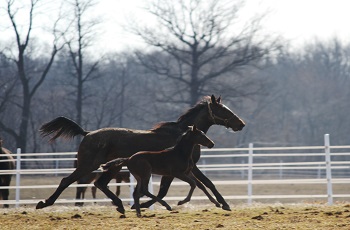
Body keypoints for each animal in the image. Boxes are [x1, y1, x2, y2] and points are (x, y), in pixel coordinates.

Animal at [34, 95, 243, 214]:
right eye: (223, 109)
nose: (241, 124)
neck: (182, 136)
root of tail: (87, 133)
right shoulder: (182, 168)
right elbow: (203, 183)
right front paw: (224, 204)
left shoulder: (183, 169)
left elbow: (197, 185)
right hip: (88, 165)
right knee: (68, 181)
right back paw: (44, 203)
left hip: (113, 167)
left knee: (100, 184)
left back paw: (120, 205)